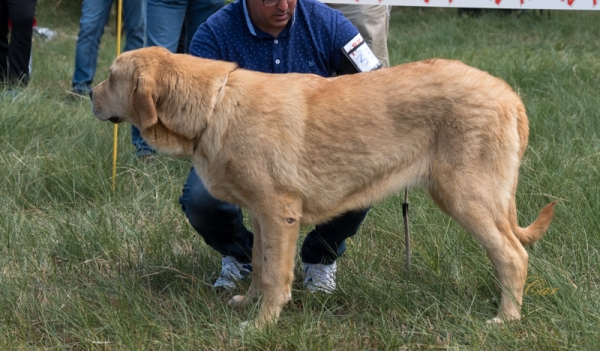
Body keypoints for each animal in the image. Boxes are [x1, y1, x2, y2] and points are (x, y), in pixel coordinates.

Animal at [90, 46, 556, 328]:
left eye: (111, 77)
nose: (89, 95)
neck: (214, 106)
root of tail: (508, 93)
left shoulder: (278, 212)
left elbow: (275, 276)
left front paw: (260, 326)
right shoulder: (261, 215)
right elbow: (258, 263)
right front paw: (249, 304)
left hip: (465, 196)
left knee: (513, 256)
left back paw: (506, 319)